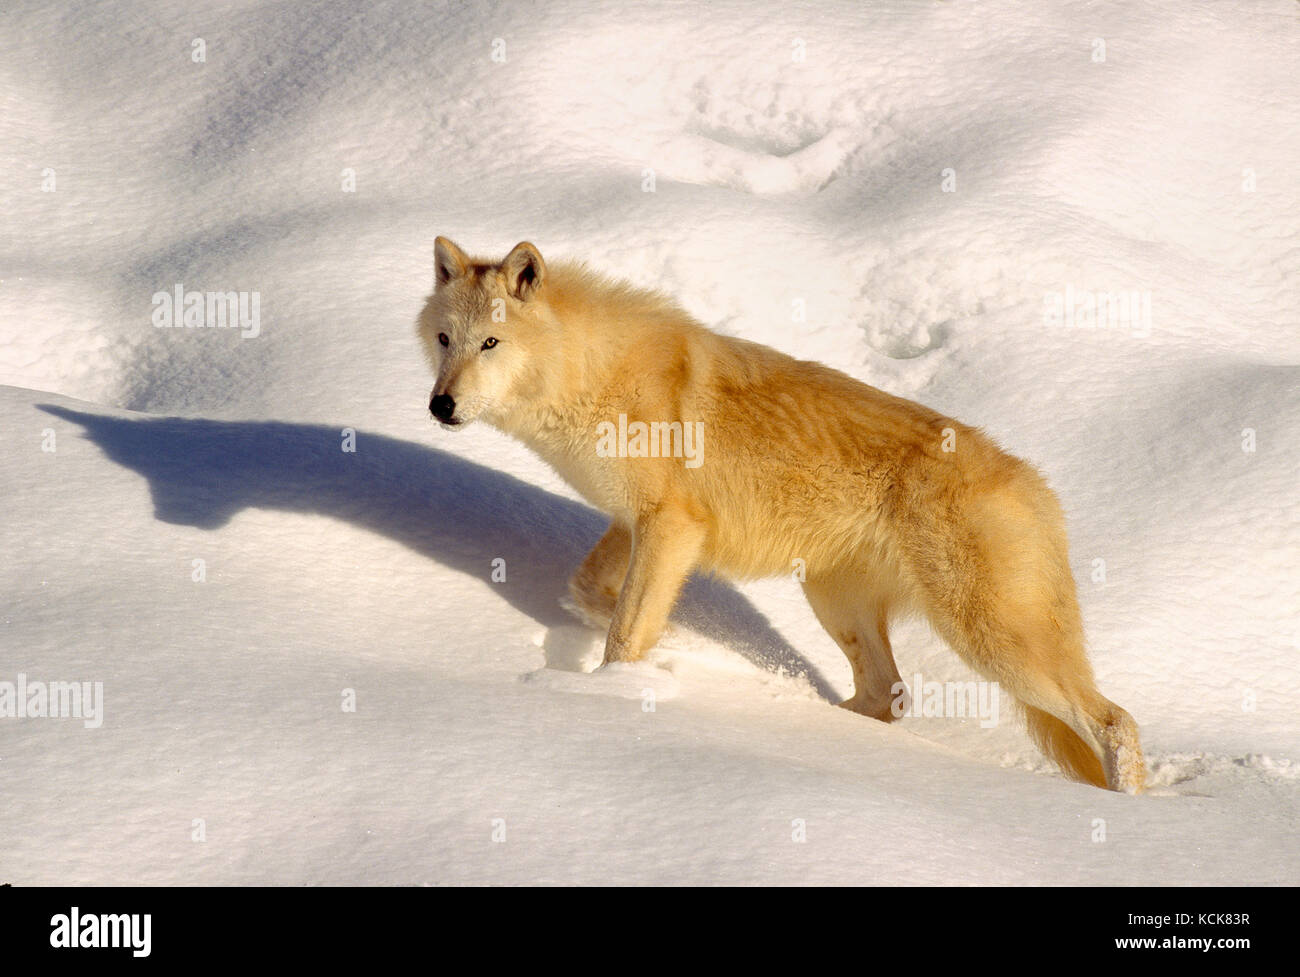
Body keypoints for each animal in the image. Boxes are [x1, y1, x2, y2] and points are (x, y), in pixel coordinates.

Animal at [418, 236, 1149, 795]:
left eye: (490, 343)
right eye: (445, 340)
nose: (439, 405)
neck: (592, 374)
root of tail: (1038, 487)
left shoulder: (671, 525)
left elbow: (624, 632)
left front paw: (620, 687)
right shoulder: (637, 524)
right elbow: (593, 595)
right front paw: (677, 645)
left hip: (989, 641)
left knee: (1116, 722)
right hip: (836, 603)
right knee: (887, 696)